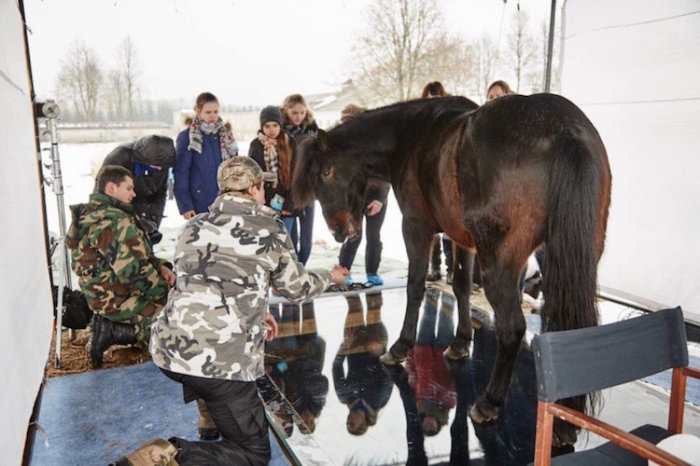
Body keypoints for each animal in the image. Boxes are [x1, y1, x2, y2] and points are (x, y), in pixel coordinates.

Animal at [292, 95, 608, 430]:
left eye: (325, 173)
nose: (338, 230)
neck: (410, 136)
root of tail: (564, 132)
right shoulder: (462, 239)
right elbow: (460, 286)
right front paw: (460, 342)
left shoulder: (416, 228)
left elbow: (415, 286)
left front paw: (400, 347)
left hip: (500, 263)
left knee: (512, 328)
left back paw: (489, 402)